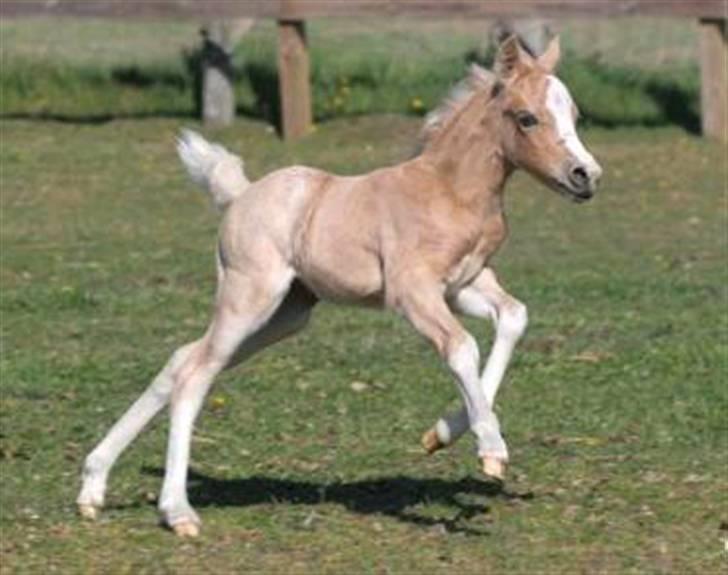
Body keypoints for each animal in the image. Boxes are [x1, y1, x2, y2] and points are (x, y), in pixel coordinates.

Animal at [78, 36, 604, 536]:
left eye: (575, 115)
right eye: (527, 118)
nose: (587, 176)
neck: (450, 193)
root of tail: (240, 194)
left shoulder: (464, 285)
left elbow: (513, 318)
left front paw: (443, 433)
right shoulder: (412, 292)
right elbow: (462, 347)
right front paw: (491, 449)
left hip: (286, 314)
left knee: (181, 360)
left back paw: (93, 487)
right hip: (250, 298)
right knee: (193, 374)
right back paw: (177, 512)